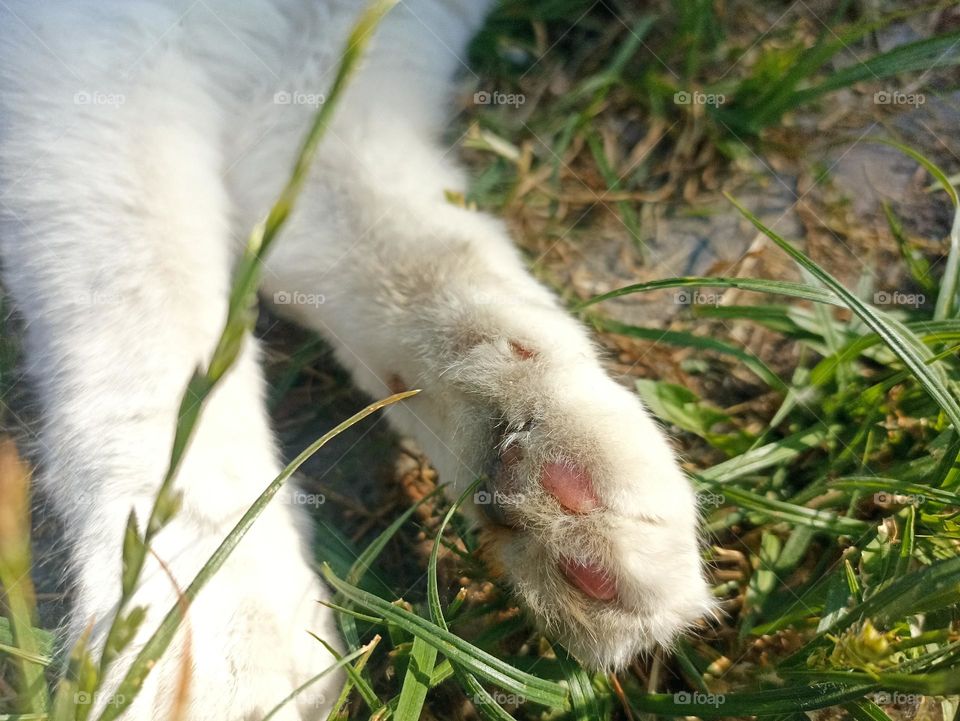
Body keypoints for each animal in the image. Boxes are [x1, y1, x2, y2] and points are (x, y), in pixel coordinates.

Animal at [0, 2, 712, 716]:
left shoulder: (332, 80)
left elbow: (431, 251)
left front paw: (545, 444)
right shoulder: (89, 54)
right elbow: (150, 308)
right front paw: (200, 605)